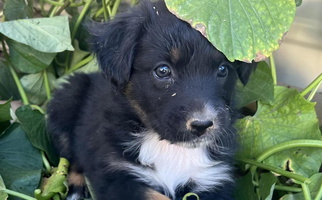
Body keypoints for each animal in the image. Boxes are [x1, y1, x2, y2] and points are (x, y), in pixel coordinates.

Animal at [46, 0, 256, 200]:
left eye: (223, 69)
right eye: (162, 70)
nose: (202, 125)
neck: (169, 148)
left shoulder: (214, 178)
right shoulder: (116, 174)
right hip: (67, 100)